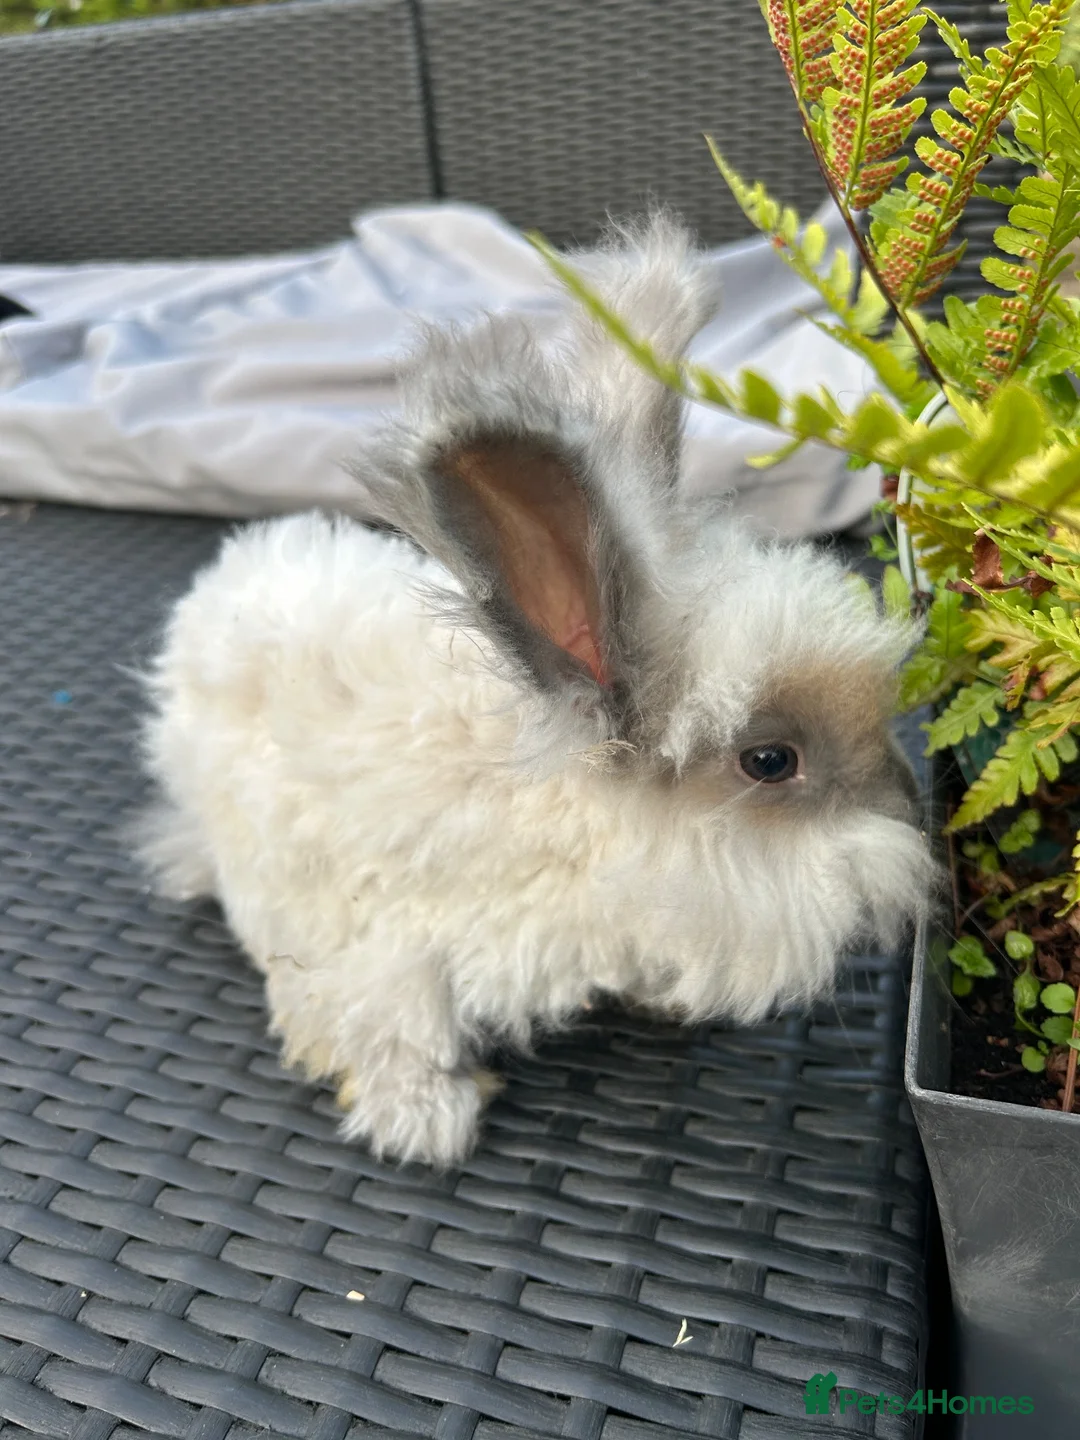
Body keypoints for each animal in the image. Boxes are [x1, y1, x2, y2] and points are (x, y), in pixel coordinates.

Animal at [136, 213, 933, 1168]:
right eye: (771, 761)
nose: (911, 811)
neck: (569, 826)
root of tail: (210, 591)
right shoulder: (383, 956)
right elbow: (390, 1030)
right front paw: (426, 1124)